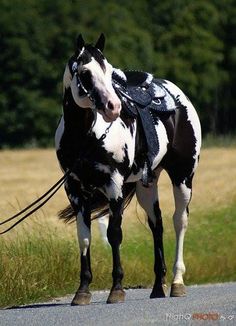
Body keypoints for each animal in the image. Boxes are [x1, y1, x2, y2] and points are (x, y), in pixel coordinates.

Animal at [54, 35, 201, 306]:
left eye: (109, 70)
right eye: (85, 73)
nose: (113, 107)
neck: (85, 136)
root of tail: (177, 95)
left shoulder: (114, 185)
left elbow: (114, 234)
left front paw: (117, 289)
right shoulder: (75, 189)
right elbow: (84, 236)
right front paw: (82, 291)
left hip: (183, 176)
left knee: (179, 221)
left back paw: (177, 282)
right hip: (147, 184)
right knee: (157, 225)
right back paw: (158, 287)